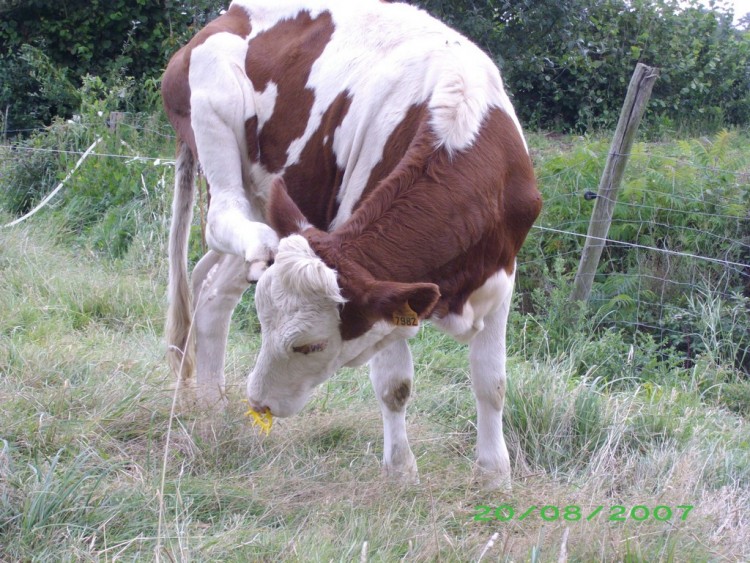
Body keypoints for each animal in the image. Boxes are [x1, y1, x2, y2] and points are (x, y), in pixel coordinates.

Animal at [162, 0, 544, 486]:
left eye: (309, 345)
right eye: (265, 328)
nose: (259, 402)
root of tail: (222, 19)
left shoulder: (500, 276)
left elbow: (491, 382)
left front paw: (495, 476)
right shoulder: (390, 284)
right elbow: (395, 385)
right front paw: (401, 472)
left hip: (270, 196)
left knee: (211, 291)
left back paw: (211, 405)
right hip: (215, 115)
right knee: (221, 220)